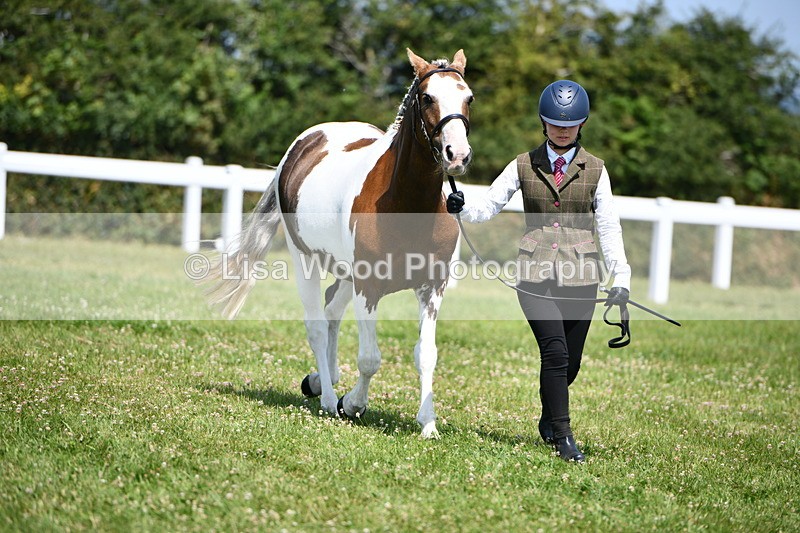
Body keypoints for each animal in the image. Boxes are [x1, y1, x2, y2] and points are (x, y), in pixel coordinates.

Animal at [204, 49, 473, 438]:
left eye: (469, 98)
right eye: (427, 98)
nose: (458, 155)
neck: (405, 203)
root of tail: (303, 145)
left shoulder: (432, 288)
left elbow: (426, 354)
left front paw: (428, 424)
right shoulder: (368, 287)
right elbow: (369, 358)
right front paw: (353, 403)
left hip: (345, 272)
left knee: (331, 310)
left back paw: (322, 379)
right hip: (306, 261)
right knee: (317, 324)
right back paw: (330, 399)